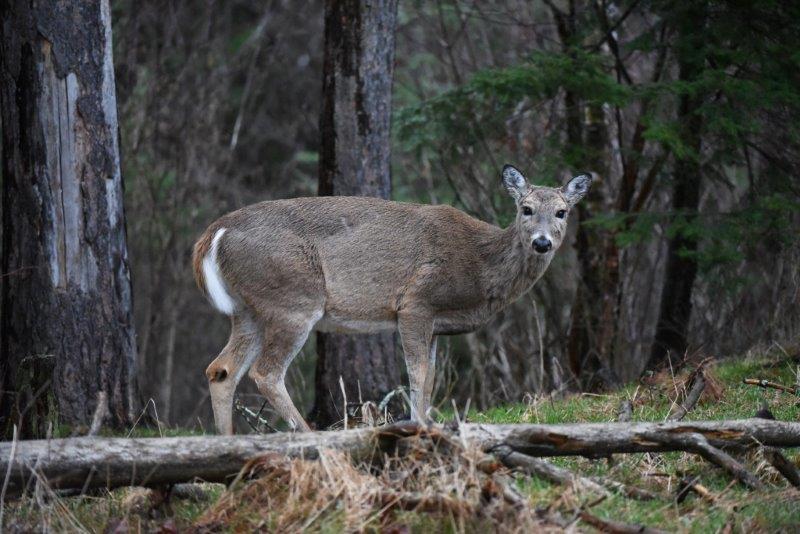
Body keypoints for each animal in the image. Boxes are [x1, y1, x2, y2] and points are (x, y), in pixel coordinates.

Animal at [192, 165, 591, 434]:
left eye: (562, 211)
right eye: (526, 208)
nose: (542, 242)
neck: (479, 263)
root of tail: (215, 232)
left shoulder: (436, 324)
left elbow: (429, 378)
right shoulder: (416, 302)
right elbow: (417, 374)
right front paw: (417, 429)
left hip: (249, 310)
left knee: (221, 369)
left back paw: (227, 443)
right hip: (292, 300)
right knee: (266, 372)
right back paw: (309, 437)